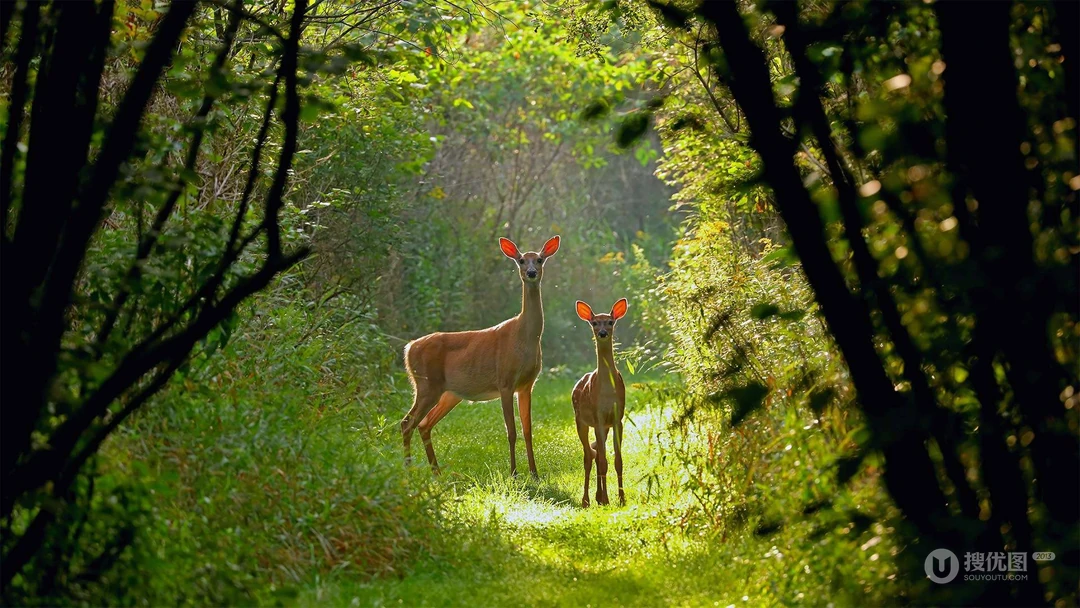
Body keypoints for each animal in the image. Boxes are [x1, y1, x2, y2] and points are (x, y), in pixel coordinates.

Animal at [400, 235, 561, 478]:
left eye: (540, 259)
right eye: (522, 260)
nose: (532, 272)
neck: (524, 338)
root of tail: (408, 348)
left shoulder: (527, 385)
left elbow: (527, 430)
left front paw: (534, 473)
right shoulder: (505, 381)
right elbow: (511, 431)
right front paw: (514, 473)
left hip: (449, 393)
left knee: (424, 424)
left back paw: (436, 473)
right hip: (427, 384)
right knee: (407, 422)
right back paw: (409, 472)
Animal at [571, 298, 628, 508]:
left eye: (610, 322)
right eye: (595, 323)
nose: (603, 333)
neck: (607, 392)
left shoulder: (617, 418)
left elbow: (617, 461)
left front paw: (621, 498)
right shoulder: (598, 417)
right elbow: (604, 461)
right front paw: (607, 498)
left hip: (604, 426)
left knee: (595, 454)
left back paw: (598, 497)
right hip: (580, 420)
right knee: (589, 456)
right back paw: (587, 500)